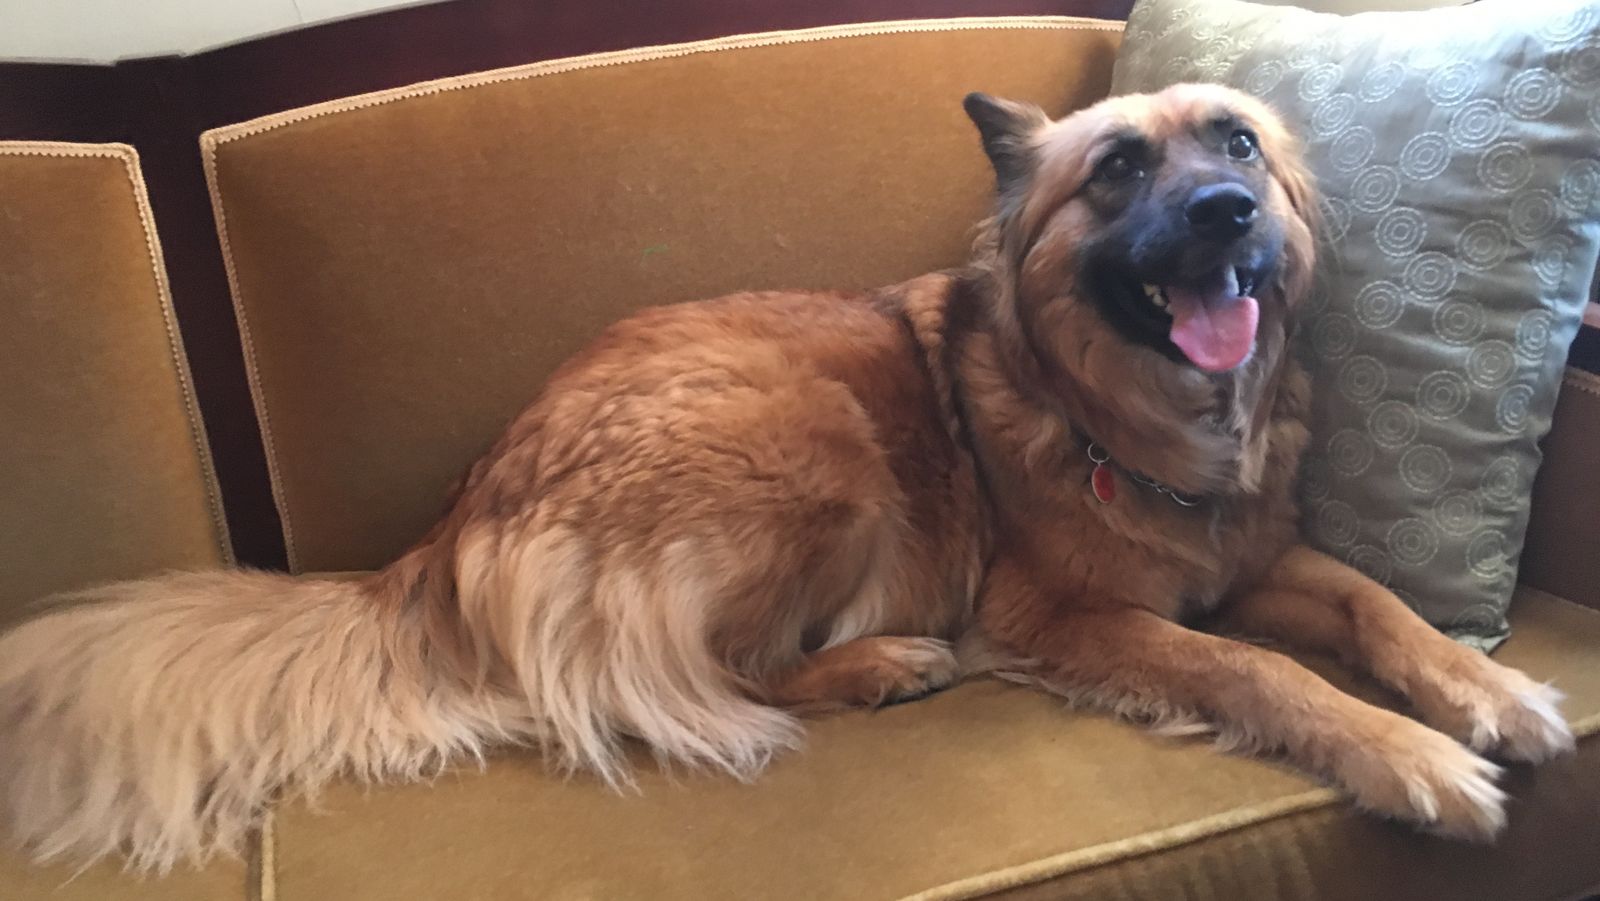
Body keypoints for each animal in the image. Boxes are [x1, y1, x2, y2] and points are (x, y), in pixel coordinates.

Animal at [0, 84, 1574, 873]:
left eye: (1239, 141)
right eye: (1118, 171)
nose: (1232, 212)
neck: (1120, 413)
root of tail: (453, 526)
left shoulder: (1250, 554)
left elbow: (1376, 606)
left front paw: (1485, 693)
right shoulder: (1066, 616)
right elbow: (1262, 671)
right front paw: (1412, 758)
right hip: (817, 446)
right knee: (690, 691)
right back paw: (878, 664)